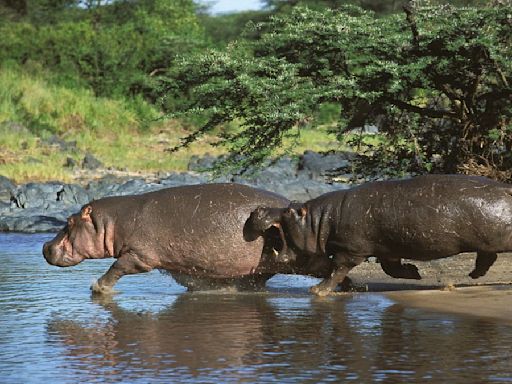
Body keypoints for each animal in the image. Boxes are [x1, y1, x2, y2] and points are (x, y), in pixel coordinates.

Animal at [42, 183, 334, 294]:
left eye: (69, 222)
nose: (45, 246)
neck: (113, 220)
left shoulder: (139, 256)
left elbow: (116, 268)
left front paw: (98, 287)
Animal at [243, 176, 512, 296]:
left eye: (289, 211)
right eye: (291, 204)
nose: (259, 209)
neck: (319, 221)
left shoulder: (350, 250)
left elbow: (336, 270)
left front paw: (318, 291)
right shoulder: (387, 249)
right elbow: (391, 268)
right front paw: (415, 273)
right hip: (485, 243)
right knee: (486, 258)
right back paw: (474, 275)